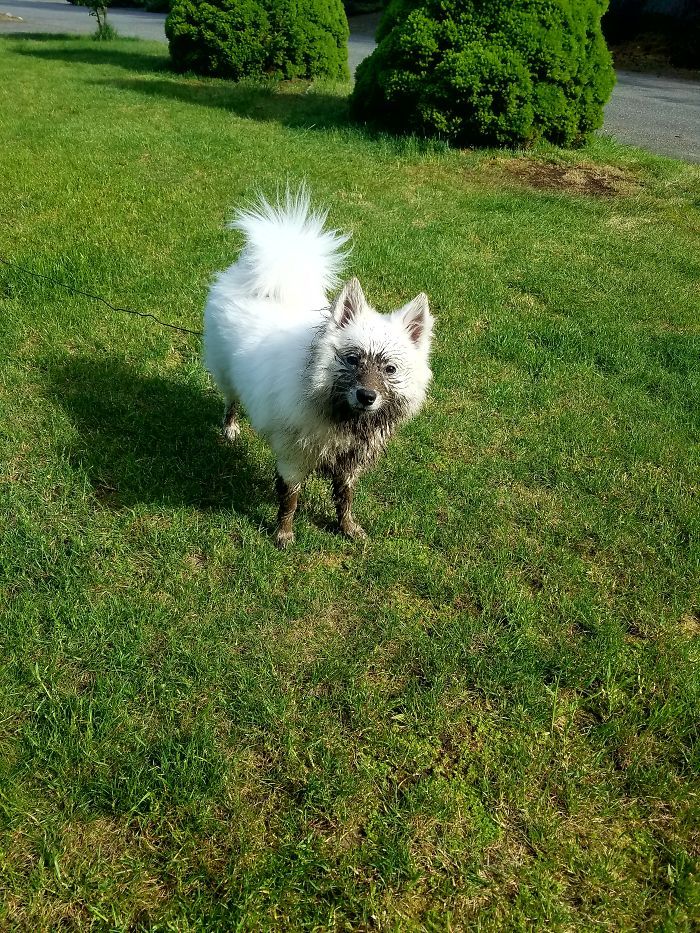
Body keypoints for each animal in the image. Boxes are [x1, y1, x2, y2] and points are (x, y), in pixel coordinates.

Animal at [202, 189, 432, 548]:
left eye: (390, 369)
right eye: (353, 359)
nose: (366, 396)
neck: (339, 412)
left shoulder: (349, 462)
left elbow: (344, 497)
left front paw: (347, 528)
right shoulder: (293, 457)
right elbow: (290, 498)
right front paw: (284, 534)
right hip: (225, 374)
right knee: (230, 400)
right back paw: (230, 428)